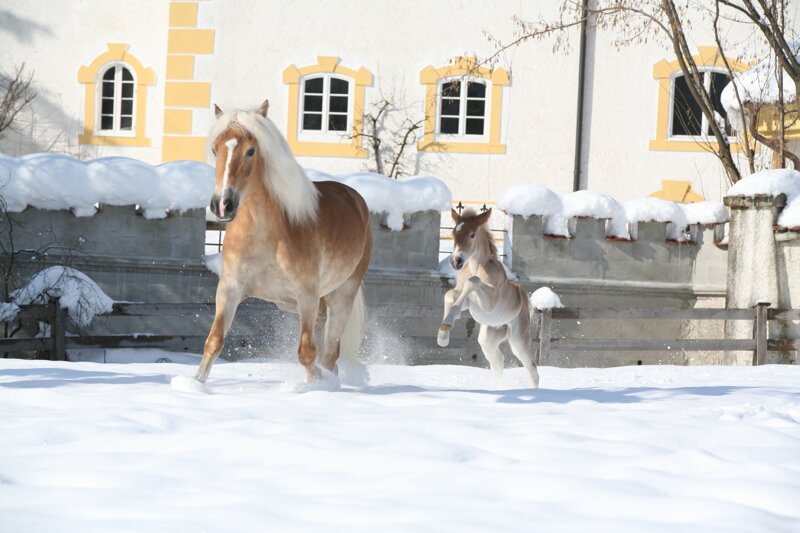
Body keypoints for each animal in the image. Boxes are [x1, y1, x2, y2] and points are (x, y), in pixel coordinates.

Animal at [195, 99, 372, 384]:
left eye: (251, 151)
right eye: (215, 148)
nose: (222, 204)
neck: (264, 235)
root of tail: (356, 200)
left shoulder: (306, 295)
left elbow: (306, 353)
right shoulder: (229, 290)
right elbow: (214, 342)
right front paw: (195, 384)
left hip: (341, 296)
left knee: (329, 354)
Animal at [438, 208, 540, 387]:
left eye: (472, 235)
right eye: (454, 233)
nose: (456, 261)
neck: (476, 267)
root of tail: (524, 299)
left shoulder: (489, 302)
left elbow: (473, 282)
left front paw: (447, 326)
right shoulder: (467, 300)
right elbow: (450, 295)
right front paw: (443, 334)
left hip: (518, 340)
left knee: (532, 368)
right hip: (488, 339)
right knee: (498, 361)